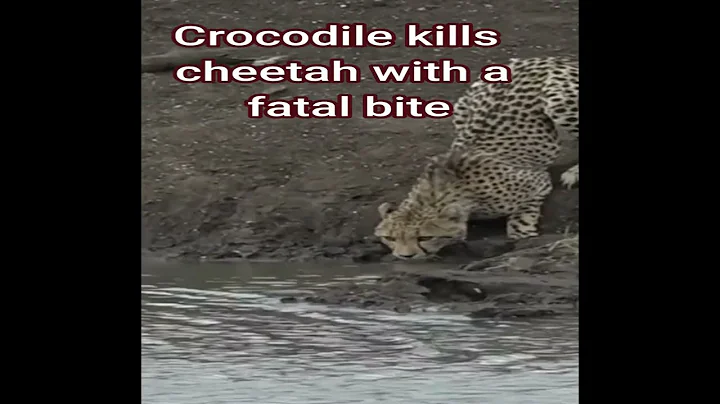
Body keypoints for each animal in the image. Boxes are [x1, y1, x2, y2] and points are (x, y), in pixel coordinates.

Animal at [374, 56, 579, 260]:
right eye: (390, 238)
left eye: (425, 237)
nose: (404, 256)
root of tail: (540, 59)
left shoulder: (538, 182)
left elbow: (521, 218)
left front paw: (523, 234)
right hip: (462, 106)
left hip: (558, 102)